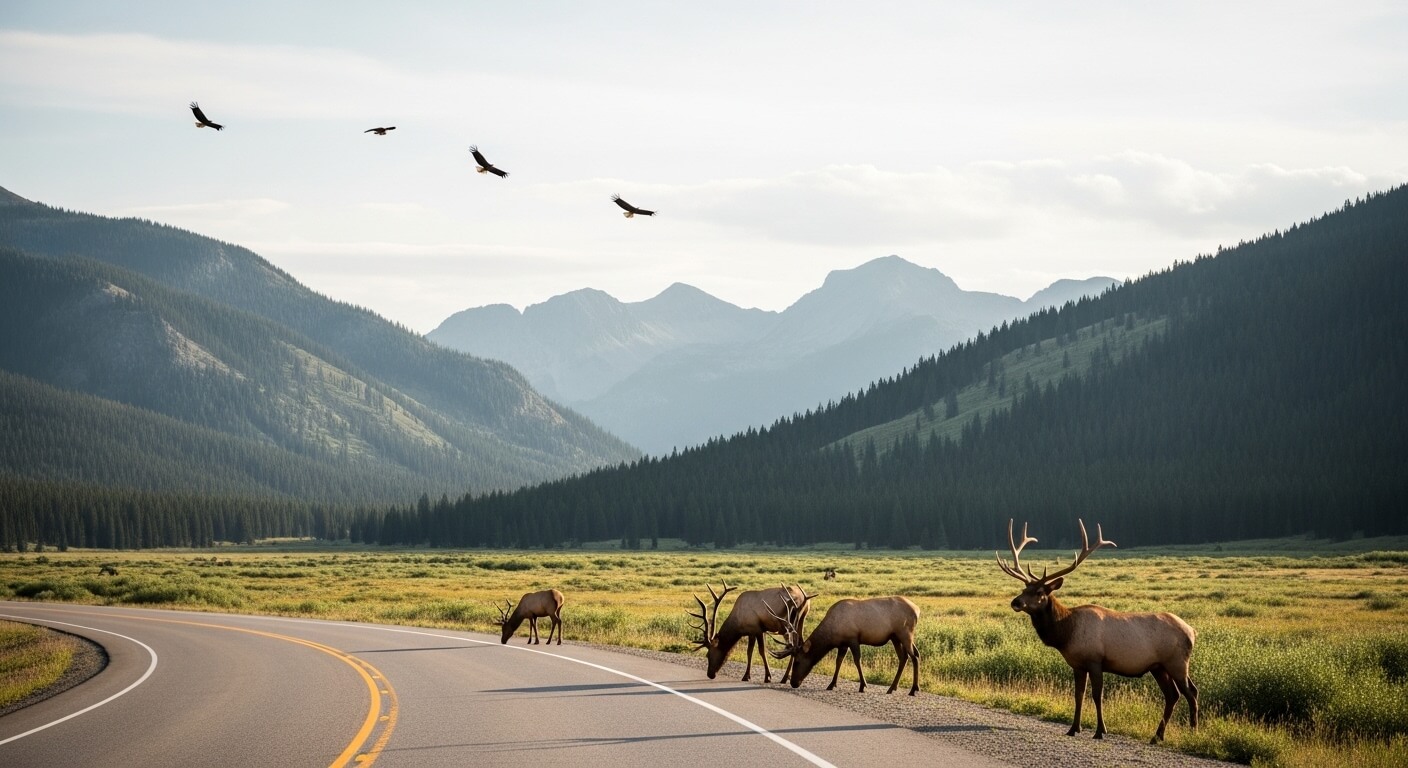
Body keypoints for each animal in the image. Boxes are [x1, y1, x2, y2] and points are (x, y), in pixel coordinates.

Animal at [769, 589, 922, 695]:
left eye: (797, 661)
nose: (793, 683)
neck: (831, 634)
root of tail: (917, 610)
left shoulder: (853, 638)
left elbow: (857, 660)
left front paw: (863, 685)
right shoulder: (842, 644)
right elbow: (839, 662)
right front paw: (831, 684)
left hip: (905, 634)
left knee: (914, 656)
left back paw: (913, 689)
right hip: (895, 637)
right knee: (905, 657)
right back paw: (892, 688)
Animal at [997, 519, 1198, 743]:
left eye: (1039, 592)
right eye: (1024, 589)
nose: (1015, 602)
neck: (1066, 633)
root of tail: (1192, 631)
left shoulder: (1095, 660)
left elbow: (1096, 695)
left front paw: (1100, 730)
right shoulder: (1077, 665)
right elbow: (1078, 695)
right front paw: (1073, 728)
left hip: (1177, 662)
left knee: (1190, 692)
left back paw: (1193, 732)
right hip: (1158, 666)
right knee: (1173, 695)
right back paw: (1157, 736)